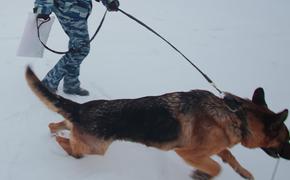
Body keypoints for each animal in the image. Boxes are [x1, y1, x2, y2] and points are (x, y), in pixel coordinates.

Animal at [25, 67, 290, 179]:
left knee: (56, 125)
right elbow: (216, 167)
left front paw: (244, 173)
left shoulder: (214, 147)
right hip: (95, 148)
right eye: (287, 139)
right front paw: (202, 175)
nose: (289, 155)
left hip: (77, 128)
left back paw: (56, 133)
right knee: (69, 145)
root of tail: (81, 108)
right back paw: (67, 152)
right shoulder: (188, 152)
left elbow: (229, 157)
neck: (237, 115)